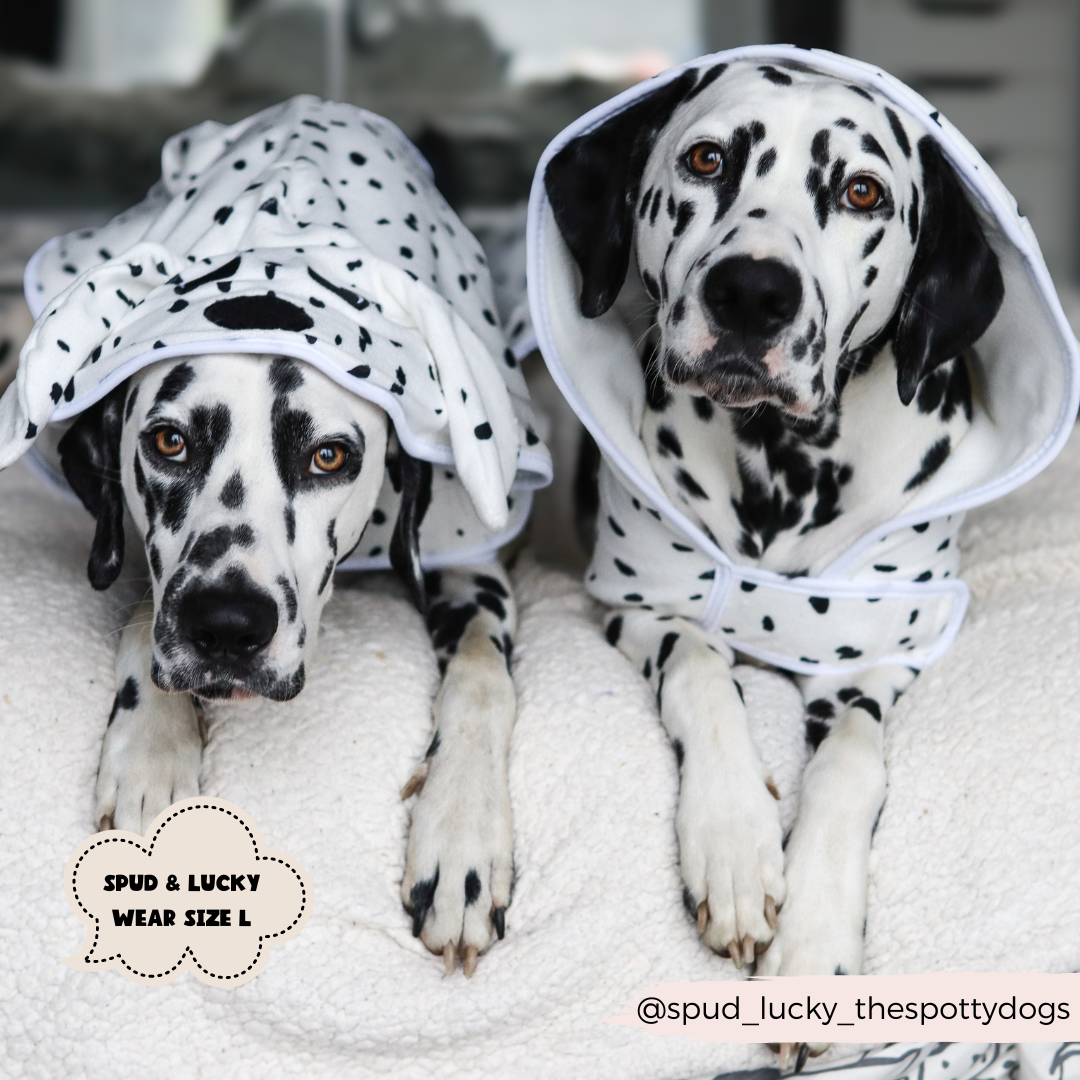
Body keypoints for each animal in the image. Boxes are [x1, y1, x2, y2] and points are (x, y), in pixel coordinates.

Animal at [59, 349, 518, 976]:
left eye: (328, 456)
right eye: (171, 442)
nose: (229, 626)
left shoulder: (474, 566)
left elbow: (481, 670)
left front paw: (462, 837)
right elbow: (143, 611)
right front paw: (152, 754)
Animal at [544, 54, 1006, 1023]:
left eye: (864, 191)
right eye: (707, 159)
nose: (753, 293)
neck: (779, 467)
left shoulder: (874, 659)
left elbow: (853, 764)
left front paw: (814, 944)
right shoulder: (640, 604)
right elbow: (700, 668)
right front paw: (732, 847)